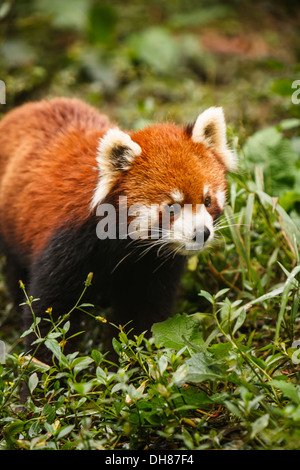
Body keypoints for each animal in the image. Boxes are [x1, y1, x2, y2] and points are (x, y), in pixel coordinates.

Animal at [0, 98, 237, 364]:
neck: (125, 246)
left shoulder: (154, 265)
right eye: (172, 207)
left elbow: (142, 311)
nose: (201, 233)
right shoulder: (69, 244)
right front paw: (45, 368)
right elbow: (49, 312)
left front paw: (127, 362)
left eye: (207, 201)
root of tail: (28, 107)